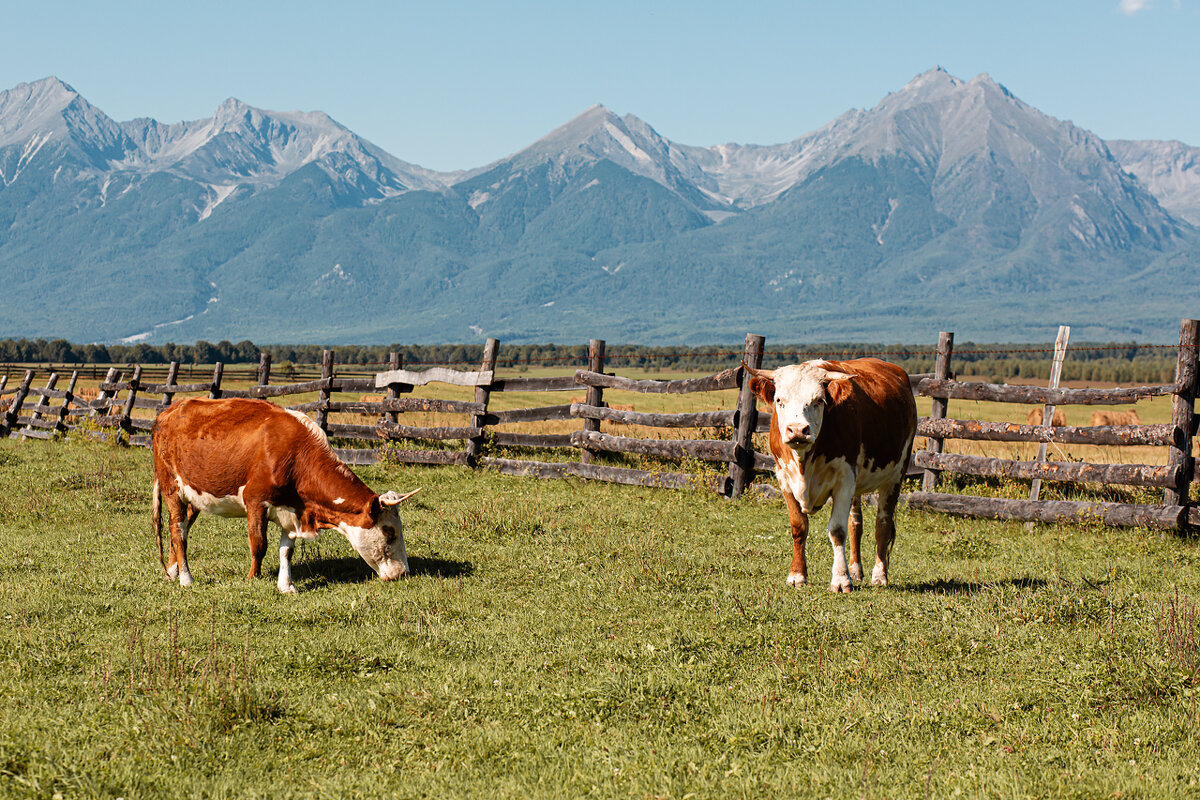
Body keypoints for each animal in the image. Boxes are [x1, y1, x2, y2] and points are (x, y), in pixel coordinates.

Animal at [152, 400, 422, 594]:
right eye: (390, 532)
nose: (403, 573)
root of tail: (169, 411)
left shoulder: (292, 511)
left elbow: (286, 551)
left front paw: (286, 586)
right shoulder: (255, 501)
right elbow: (259, 545)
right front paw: (253, 579)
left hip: (194, 496)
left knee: (181, 531)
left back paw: (174, 572)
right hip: (171, 488)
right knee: (177, 530)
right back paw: (186, 578)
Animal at [748, 359, 916, 592]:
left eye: (819, 400)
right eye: (779, 400)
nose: (797, 430)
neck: (804, 463)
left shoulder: (844, 479)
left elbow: (837, 531)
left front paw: (841, 580)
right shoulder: (783, 478)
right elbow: (799, 527)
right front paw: (797, 575)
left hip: (895, 476)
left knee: (882, 524)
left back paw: (879, 576)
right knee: (856, 524)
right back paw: (856, 570)